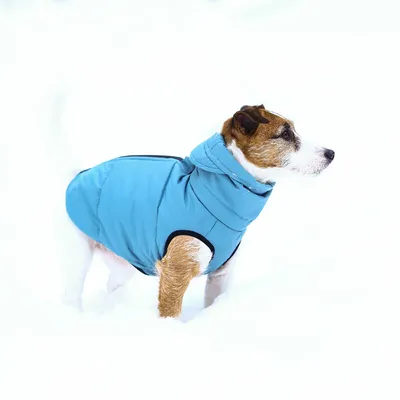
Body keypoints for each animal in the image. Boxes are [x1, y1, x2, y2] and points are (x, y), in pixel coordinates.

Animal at [62, 104, 334, 318]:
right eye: (285, 134)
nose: (331, 153)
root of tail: (80, 175)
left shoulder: (221, 276)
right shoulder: (175, 274)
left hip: (124, 262)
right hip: (78, 256)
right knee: (72, 292)